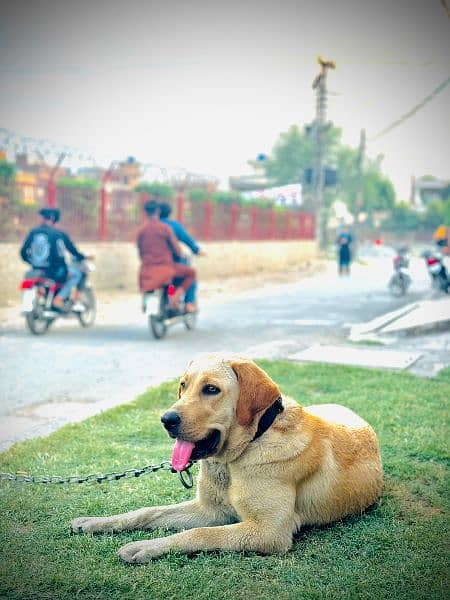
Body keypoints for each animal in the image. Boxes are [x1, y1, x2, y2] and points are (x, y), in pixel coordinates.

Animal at [72, 352, 382, 564]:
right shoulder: (209, 510)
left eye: (211, 389)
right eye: (183, 386)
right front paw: (96, 522)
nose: (166, 420)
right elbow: (148, 512)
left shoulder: (268, 531)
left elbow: (201, 534)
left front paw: (146, 547)